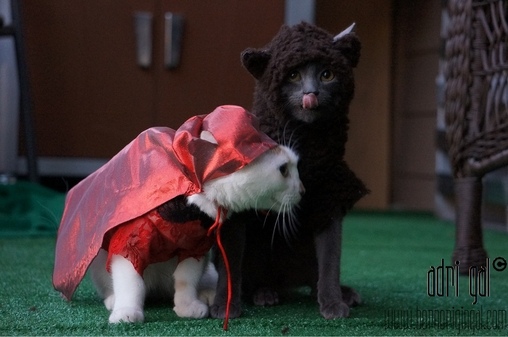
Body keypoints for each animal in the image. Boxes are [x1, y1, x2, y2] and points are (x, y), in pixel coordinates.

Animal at [88, 135, 304, 322]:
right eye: (284, 169)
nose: (303, 191)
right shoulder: (129, 247)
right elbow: (131, 282)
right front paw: (126, 311)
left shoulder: (194, 249)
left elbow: (186, 279)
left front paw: (187, 306)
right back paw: (113, 300)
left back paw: (208, 294)